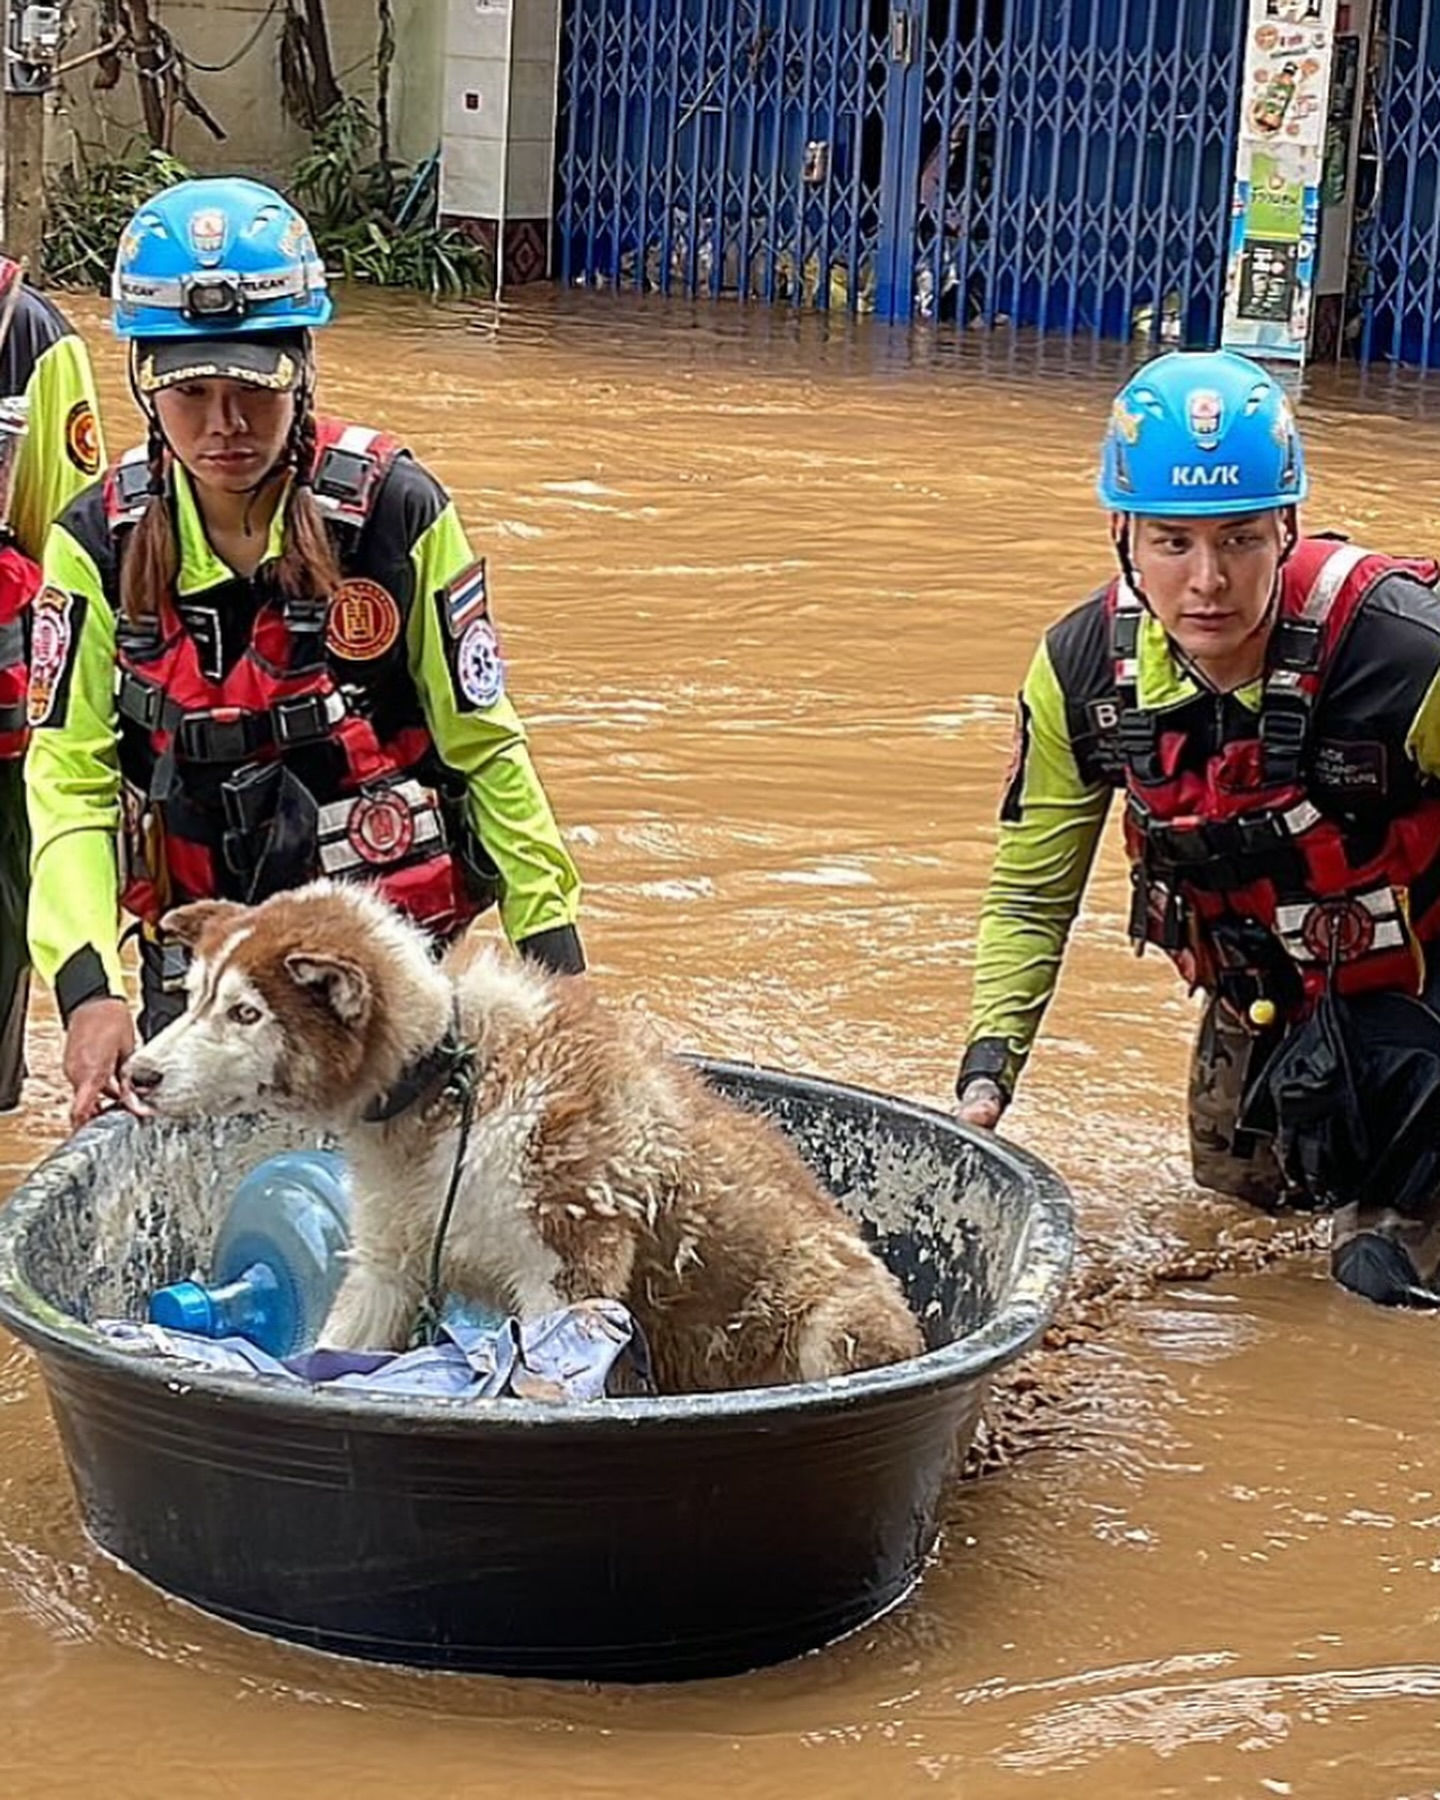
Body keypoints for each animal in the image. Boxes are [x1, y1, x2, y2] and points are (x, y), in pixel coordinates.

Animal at [124, 874, 921, 1389]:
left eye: (246, 1013)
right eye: (193, 999)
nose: (137, 1073)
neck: (446, 1077)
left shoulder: (563, 1280)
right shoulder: (388, 1264)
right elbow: (333, 1346)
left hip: (831, 1326)